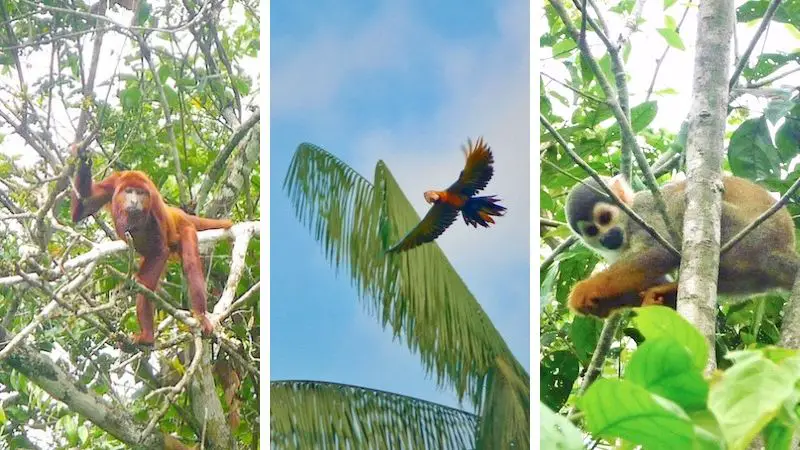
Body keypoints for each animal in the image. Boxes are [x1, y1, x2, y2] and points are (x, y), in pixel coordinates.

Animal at [70, 147, 233, 344]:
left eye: (140, 193)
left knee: (190, 264)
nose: (134, 201)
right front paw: (83, 158)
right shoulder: (112, 184)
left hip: (186, 228)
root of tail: (178, 213)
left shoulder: (154, 202)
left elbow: (160, 251)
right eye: (129, 191)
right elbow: (82, 209)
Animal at [564, 174, 800, 318]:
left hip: (748, 235)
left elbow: (660, 253)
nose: (607, 237)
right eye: (592, 231)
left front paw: (585, 290)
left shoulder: (644, 214)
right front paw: (600, 305)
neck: (627, 224)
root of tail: (778, 248)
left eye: (605, 218)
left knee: (682, 203)